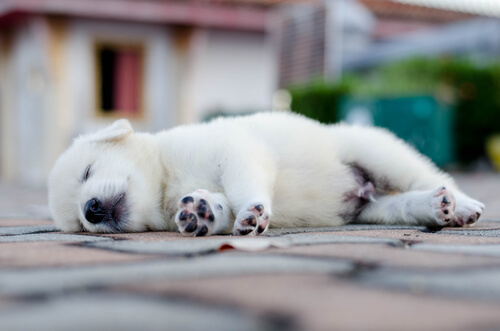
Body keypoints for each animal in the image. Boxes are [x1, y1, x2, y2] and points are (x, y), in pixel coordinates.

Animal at [47, 111, 484, 236]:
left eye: (87, 171)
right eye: (79, 224)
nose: (91, 209)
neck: (166, 182)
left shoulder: (234, 150)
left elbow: (244, 185)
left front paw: (253, 210)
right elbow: (218, 204)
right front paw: (201, 213)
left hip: (377, 151)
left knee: (426, 176)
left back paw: (462, 204)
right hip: (370, 210)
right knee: (400, 205)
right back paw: (435, 207)